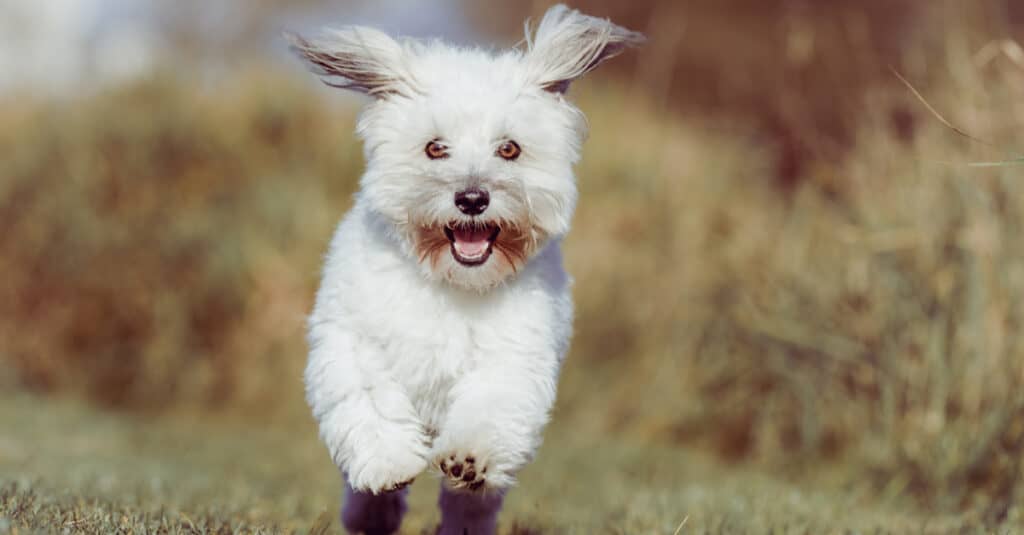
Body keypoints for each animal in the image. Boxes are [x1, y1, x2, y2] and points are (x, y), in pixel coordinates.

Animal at [288, 5, 638, 532]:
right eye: (435, 148)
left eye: (509, 149)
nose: (472, 198)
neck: (452, 283)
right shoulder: (356, 341)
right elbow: (372, 404)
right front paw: (388, 465)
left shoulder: (512, 358)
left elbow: (488, 409)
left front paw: (469, 459)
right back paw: (371, 512)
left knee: (473, 501)